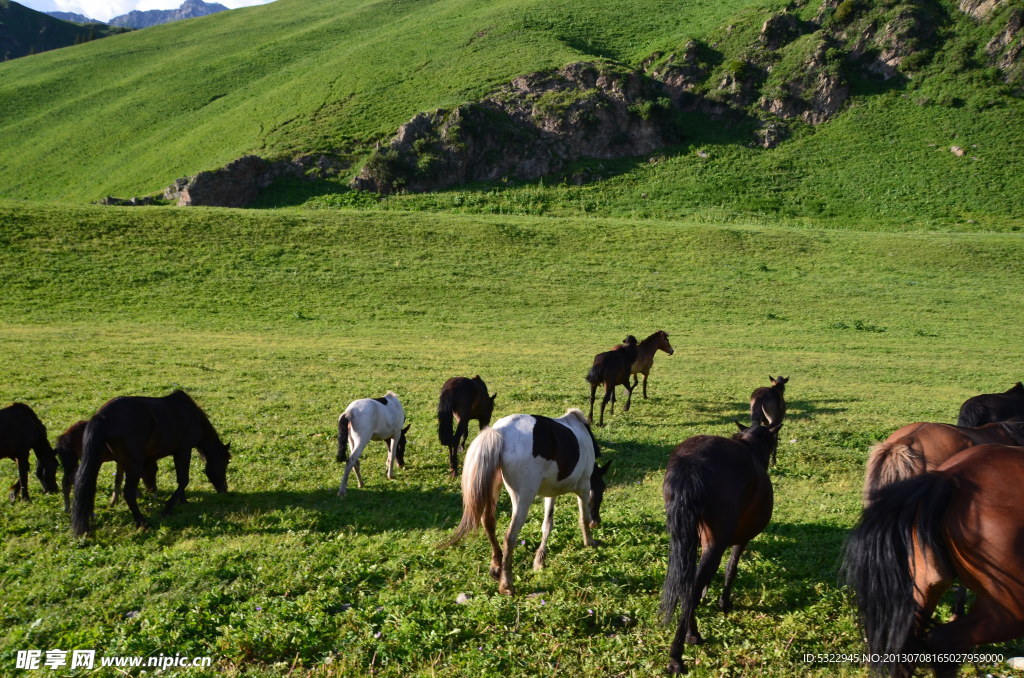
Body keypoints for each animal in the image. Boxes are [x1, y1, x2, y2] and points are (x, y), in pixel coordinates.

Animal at [71, 391, 230, 540]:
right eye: (226, 461)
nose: (224, 489)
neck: (192, 414)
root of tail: (103, 416)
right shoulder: (184, 449)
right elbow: (184, 479)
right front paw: (168, 508)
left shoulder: (176, 452)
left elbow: (180, 479)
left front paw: (183, 501)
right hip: (134, 467)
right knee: (128, 493)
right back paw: (142, 523)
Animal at [440, 409, 606, 594]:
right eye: (602, 489)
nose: (597, 521)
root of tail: (499, 432)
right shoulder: (584, 487)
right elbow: (583, 518)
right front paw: (589, 542)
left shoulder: (551, 493)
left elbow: (547, 525)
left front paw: (540, 560)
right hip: (523, 499)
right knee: (509, 537)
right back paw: (507, 585)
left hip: (494, 489)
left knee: (488, 523)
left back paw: (497, 567)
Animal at [659, 421, 778, 675]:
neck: (750, 446)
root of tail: (691, 463)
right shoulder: (740, 540)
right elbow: (731, 569)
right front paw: (724, 602)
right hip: (716, 543)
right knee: (692, 590)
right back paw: (679, 652)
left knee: (687, 585)